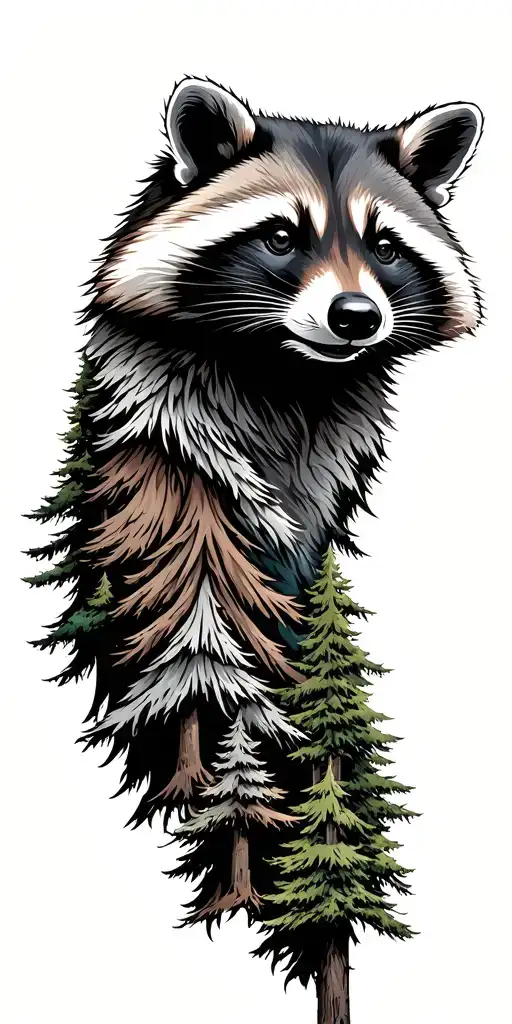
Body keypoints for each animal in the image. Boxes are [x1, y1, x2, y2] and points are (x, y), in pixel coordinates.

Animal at [76, 79, 482, 914]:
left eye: (385, 247)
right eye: (282, 237)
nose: (356, 317)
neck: (288, 374)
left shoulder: (328, 459)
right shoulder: (175, 437)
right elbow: (200, 599)